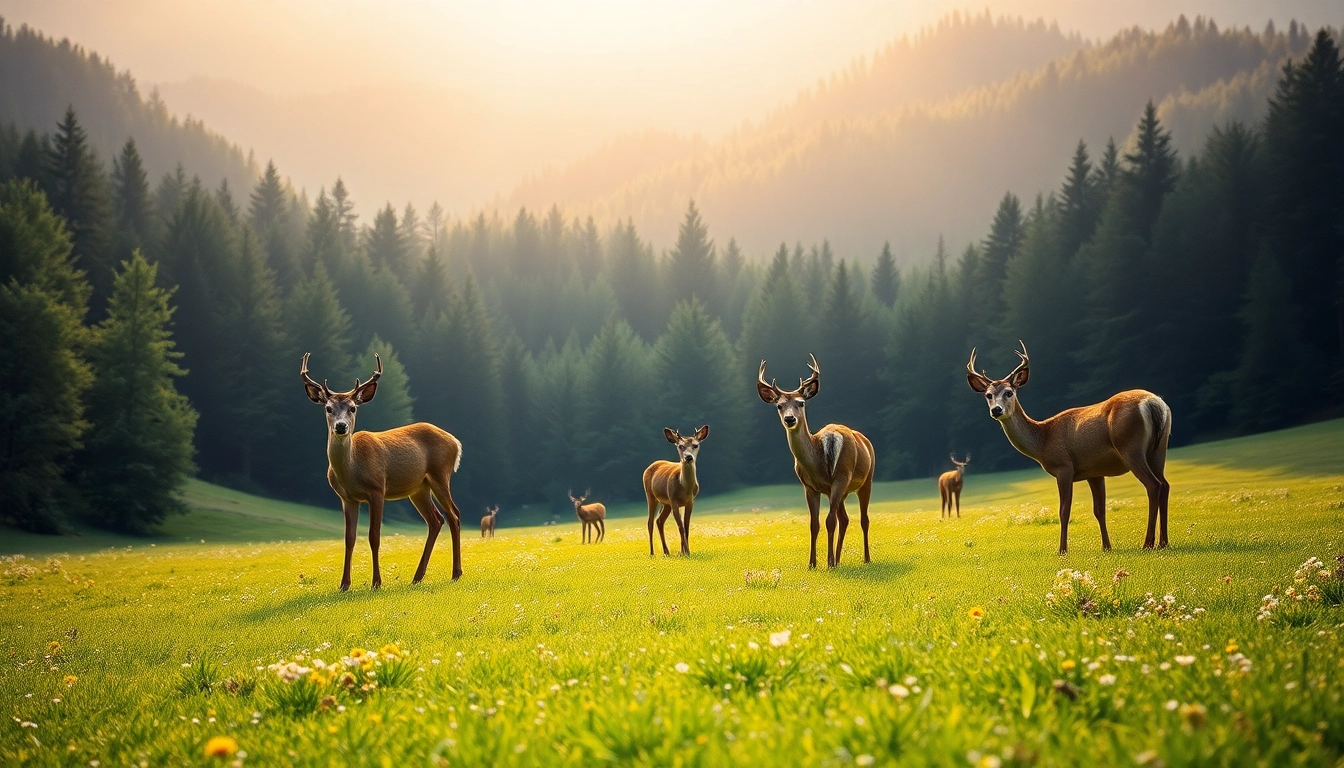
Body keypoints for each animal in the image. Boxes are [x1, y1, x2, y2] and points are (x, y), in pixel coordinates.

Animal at [301, 353, 464, 591]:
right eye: (328, 408)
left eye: (353, 408)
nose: (341, 426)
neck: (352, 470)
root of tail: (456, 442)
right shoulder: (347, 498)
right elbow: (349, 539)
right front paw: (344, 584)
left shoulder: (377, 489)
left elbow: (374, 536)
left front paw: (376, 582)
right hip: (419, 488)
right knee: (436, 520)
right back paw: (417, 577)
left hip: (440, 474)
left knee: (454, 515)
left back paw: (456, 573)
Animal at [643, 425, 709, 556]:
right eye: (680, 446)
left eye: (696, 445)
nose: (688, 457)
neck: (685, 488)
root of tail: (653, 463)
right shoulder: (673, 500)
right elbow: (680, 527)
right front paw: (687, 552)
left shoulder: (690, 502)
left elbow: (686, 526)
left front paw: (683, 552)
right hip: (651, 495)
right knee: (650, 522)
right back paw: (652, 553)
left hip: (665, 503)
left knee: (659, 521)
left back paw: (666, 552)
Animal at [757, 355, 876, 568]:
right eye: (779, 405)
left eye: (801, 403)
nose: (789, 419)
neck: (817, 463)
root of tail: (864, 439)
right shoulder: (810, 487)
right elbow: (814, 524)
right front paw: (812, 563)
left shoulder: (839, 478)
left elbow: (829, 521)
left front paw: (827, 563)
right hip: (842, 489)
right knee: (844, 518)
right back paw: (838, 559)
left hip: (862, 479)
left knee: (863, 519)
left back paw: (865, 558)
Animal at [966, 341, 1172, 555]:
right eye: (988, 395)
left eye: (1009, 392)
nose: (996, 410)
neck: (1043, 440)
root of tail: (1153, 403)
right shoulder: (1094, 472)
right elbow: (1099, 510)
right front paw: (1107, 547)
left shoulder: (1063, 467)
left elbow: (1064, 511)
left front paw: (1062, 550)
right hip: (1159, 448)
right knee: (1165, 484)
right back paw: (1163, 542)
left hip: (1131, 447)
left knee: (1154, 485)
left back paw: (1148, 543)